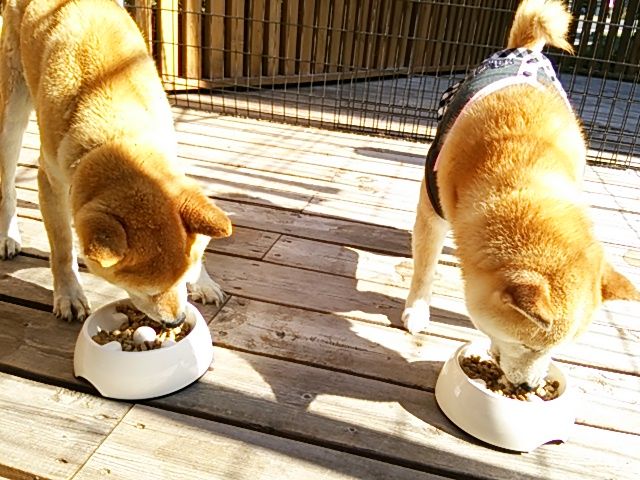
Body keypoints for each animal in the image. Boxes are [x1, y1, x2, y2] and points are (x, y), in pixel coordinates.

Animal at [0, 0, 232, 326]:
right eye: (147, 290)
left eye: (183, 277)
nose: (175, 321)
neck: (117, 131)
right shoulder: (50, 181)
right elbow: (62, 247)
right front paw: (69, 294)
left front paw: (203, 281)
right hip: (12, 118)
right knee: (8, 186)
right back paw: (8, 236)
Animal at [402, 0, 639, 388]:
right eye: (527, 345)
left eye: (559, 350)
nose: (530, 386)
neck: (521, 165)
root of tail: (526, 49)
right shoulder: (432, 208)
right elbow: (424, 266)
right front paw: (417, 309)